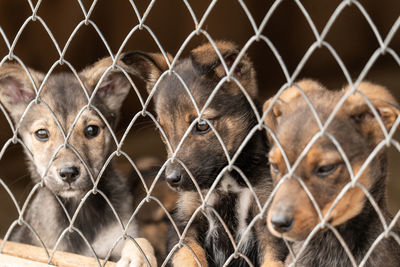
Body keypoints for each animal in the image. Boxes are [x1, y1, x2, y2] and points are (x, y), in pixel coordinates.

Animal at [0, 57, 157, 266]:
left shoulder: (119, 234)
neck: (78, 208)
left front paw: (139, 256)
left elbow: (139, 239)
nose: (68, 173)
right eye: (42, 134)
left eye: (91, 130)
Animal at [120, 41, 286, 267]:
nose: (171, 179)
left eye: (201, 125)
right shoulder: (184, 223)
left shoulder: (266, 219)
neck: (225, 180)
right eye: (162, 132)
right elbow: (189, 255)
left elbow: (273, 259)